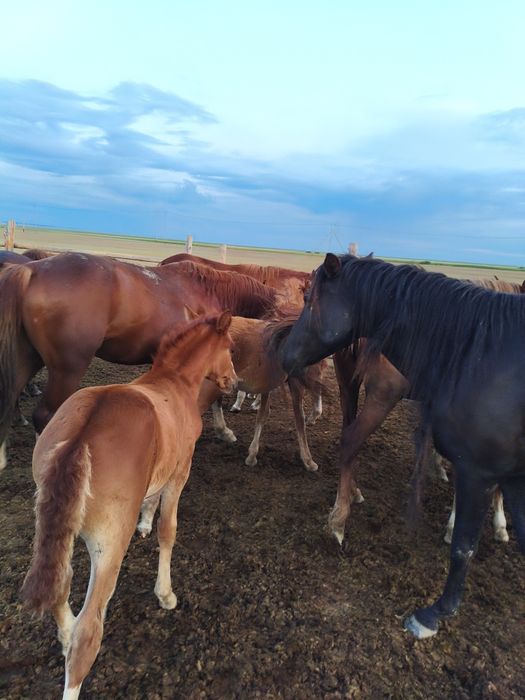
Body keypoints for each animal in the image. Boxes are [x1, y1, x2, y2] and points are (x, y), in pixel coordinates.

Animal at [0, 253, 278, 467]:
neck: (206, 291)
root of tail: (32, 270)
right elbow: (215, 398)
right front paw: (225, 431)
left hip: (28, 360)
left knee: (9, 398)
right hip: (67, 369)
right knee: (44, 415)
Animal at [21, 312, 236, 700]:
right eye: (230, 347)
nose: (234, 381)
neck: (173, 383)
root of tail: (79, 440)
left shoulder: (161, 471)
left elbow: (150, 501)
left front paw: (145, 522)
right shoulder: (180, 472)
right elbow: (169, 531)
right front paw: (165, 594)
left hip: (52, 524)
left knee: (61, 581)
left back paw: (64, 633)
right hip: (109, 544)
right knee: (88, 633)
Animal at [282, 253, 525, 639]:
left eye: (310, 299)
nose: (286, 354)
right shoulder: (482, 461)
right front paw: (487, 524)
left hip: (350, 385)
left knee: (348, 437)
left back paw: (352, 496)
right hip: (383, 394)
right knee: (351, 440)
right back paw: (339, 520)